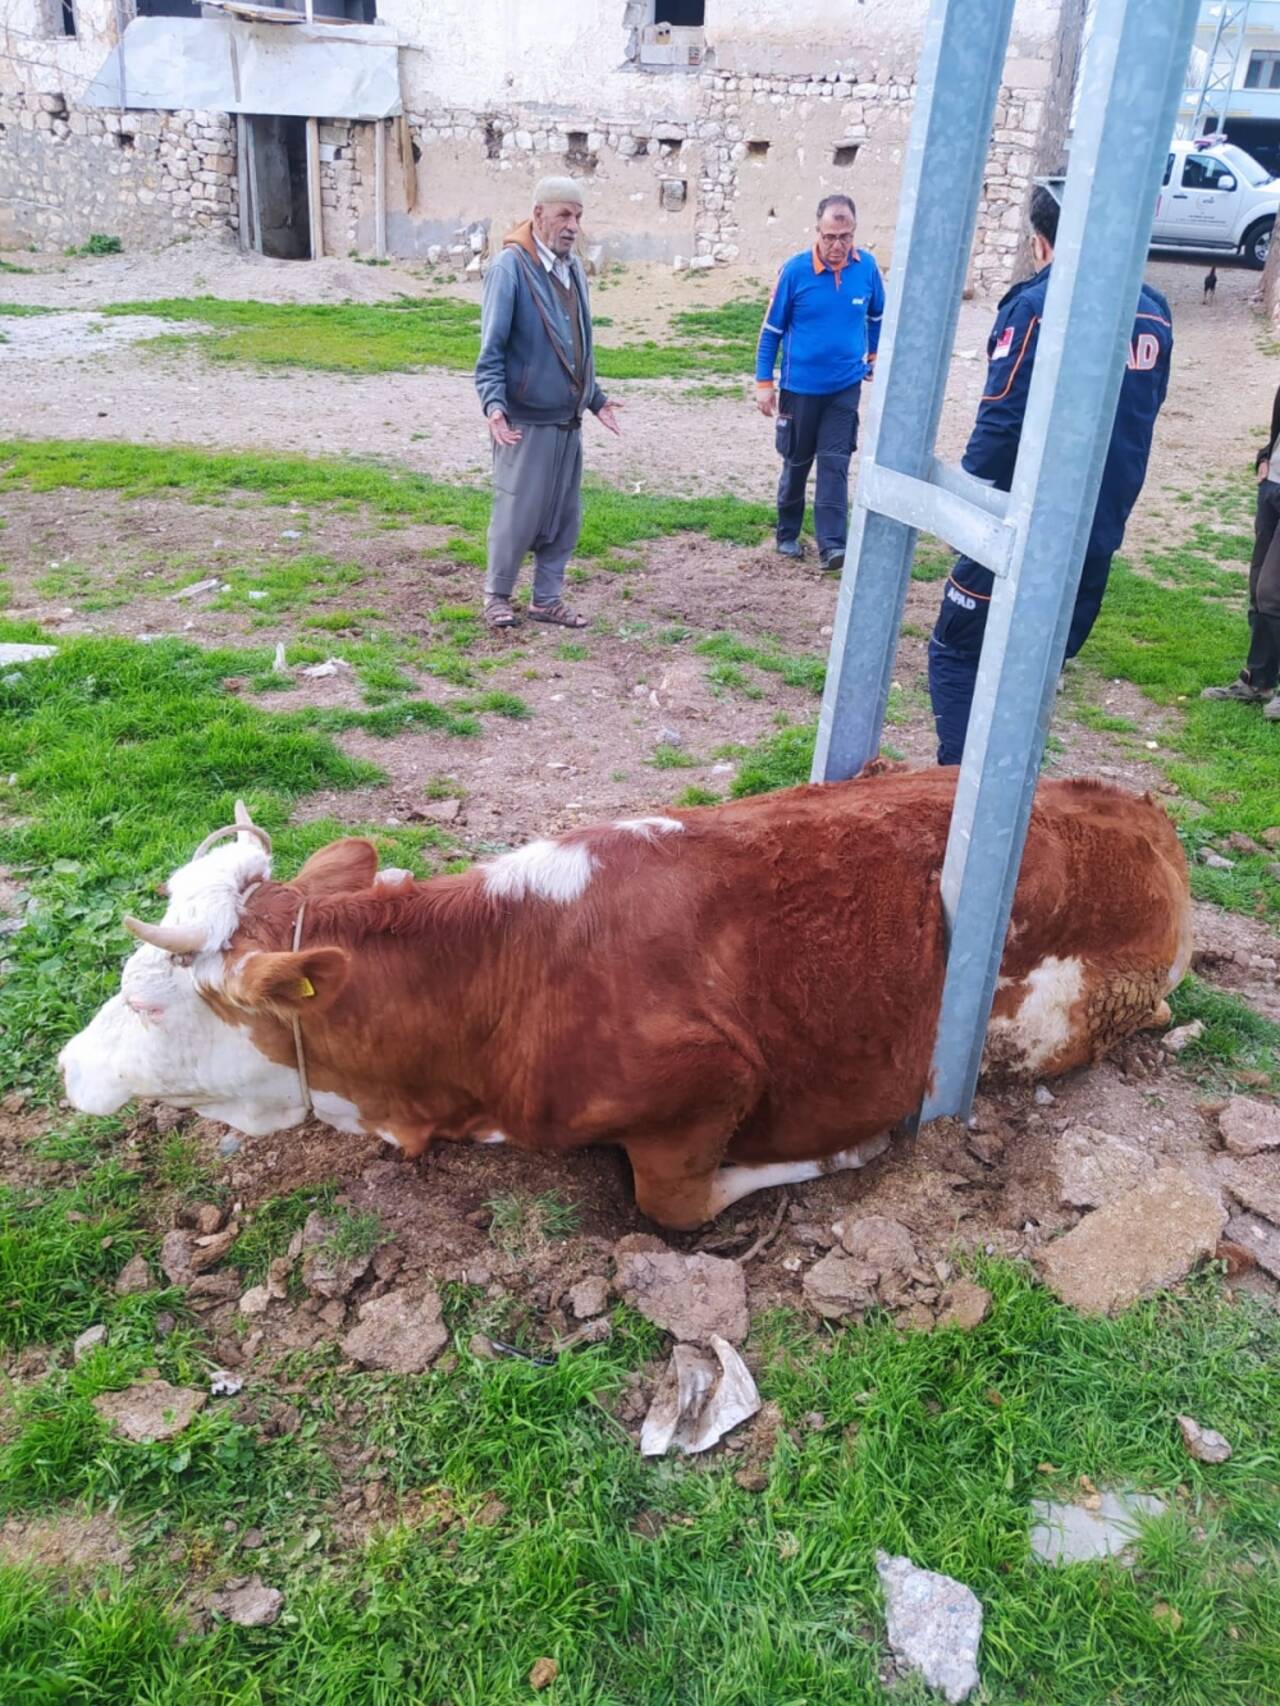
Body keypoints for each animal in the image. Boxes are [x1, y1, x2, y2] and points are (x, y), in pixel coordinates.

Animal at [60, 771, 1194, 1228]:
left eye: (150, 1006)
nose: (68, 1067)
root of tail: (1135, 807)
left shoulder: (714, 1077)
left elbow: (670, 1202)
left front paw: (844, 1154)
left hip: (1048, 1022)